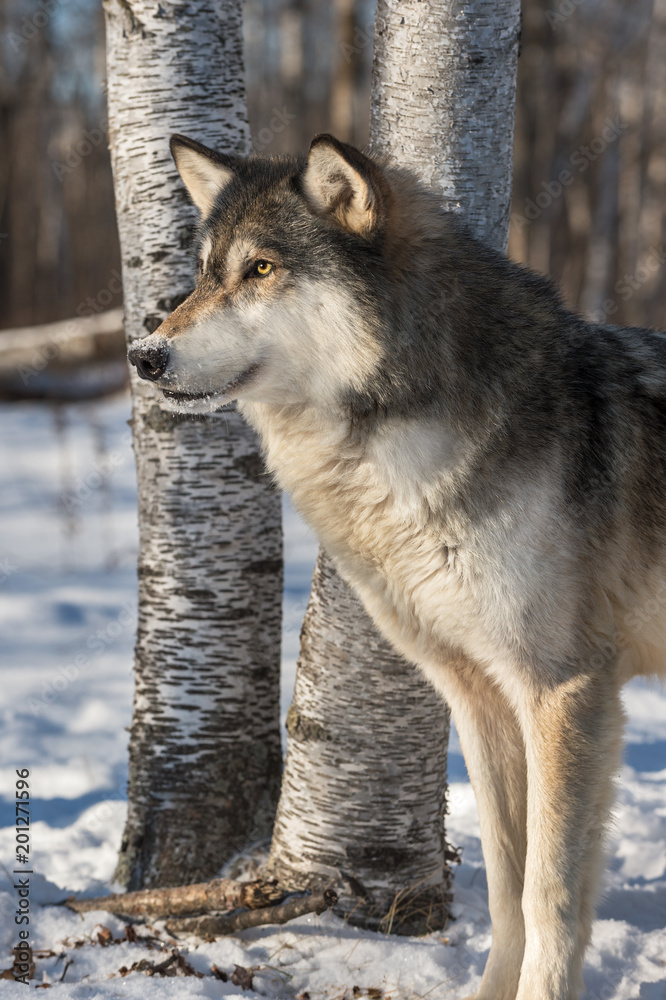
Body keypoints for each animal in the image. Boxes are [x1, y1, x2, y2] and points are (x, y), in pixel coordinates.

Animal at [128, 133, 666, 1000]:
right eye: (207, 272)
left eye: (261, 269)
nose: (143, 355)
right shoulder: (481, 697)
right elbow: (509, 886)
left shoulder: (564, 690)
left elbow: (548, 892)